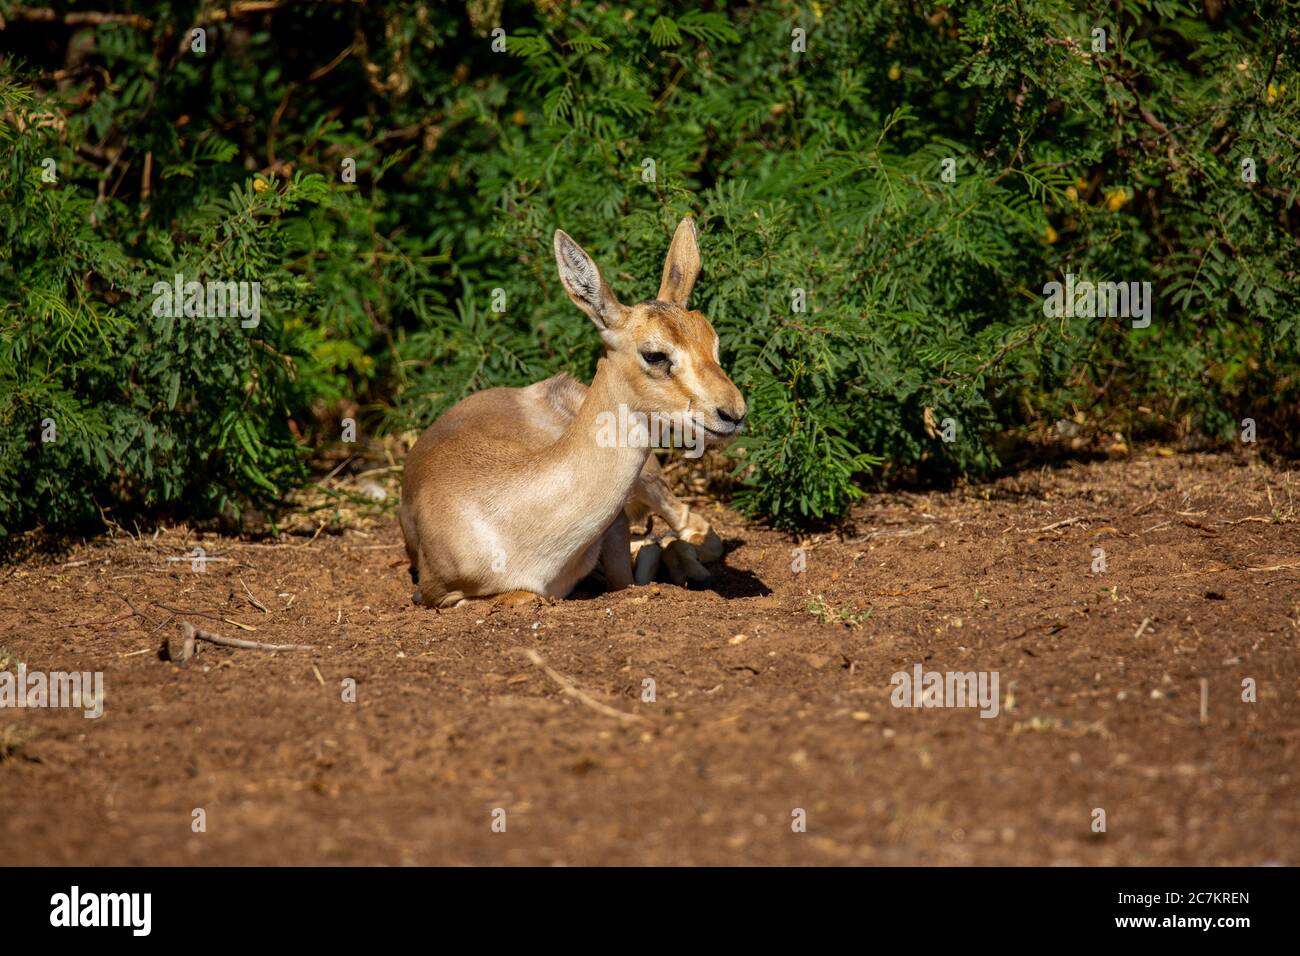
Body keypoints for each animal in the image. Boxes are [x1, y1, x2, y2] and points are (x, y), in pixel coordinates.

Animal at [399, 217, 746, 608]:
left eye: (713, 342)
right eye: (655, 354)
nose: (733, 412)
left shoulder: (615, 527)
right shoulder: (432, 592)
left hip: (648, 478)